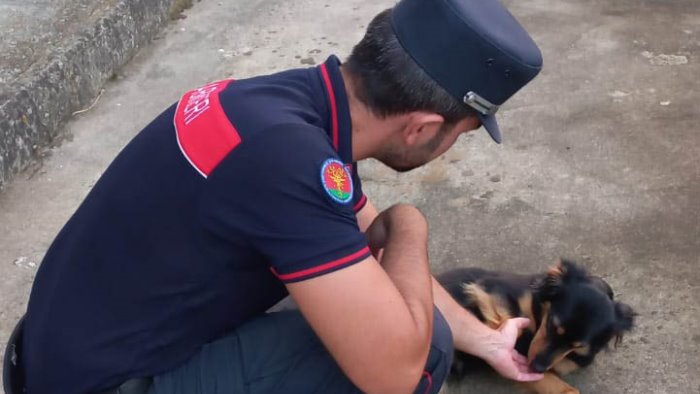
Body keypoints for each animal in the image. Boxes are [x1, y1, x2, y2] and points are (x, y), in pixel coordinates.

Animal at [440, 260, 636, 392]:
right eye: (551, 325)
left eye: (577, 345)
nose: (537, 367)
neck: (540, 315)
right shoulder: (490, 287)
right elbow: (508, 320)